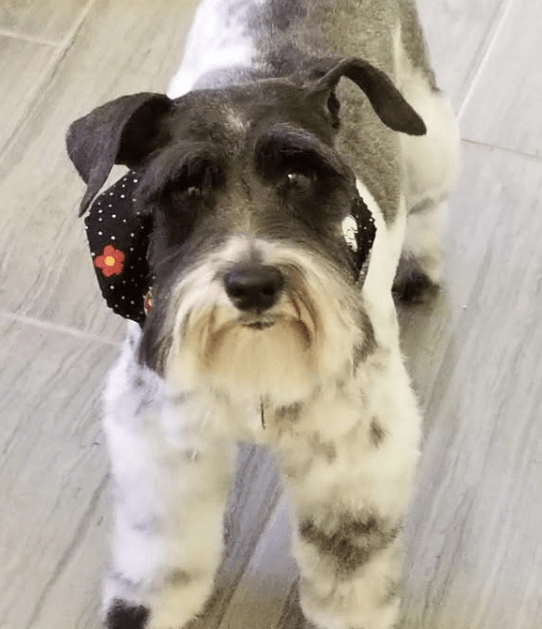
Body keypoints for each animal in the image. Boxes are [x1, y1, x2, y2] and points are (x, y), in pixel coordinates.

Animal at [66, 0, 459, 627]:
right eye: (184, 188)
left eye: (300, 175)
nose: (253, 285)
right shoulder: (163, 438)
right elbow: (162, 555)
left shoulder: (355, 451)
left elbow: (347, 562)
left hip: (426, 132)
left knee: (425, 201)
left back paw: (418, 267)